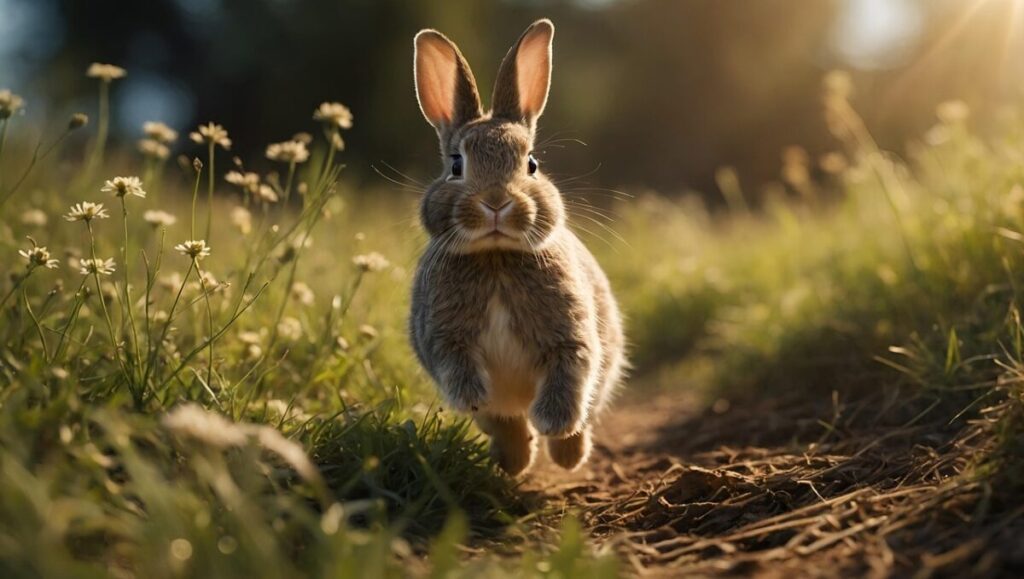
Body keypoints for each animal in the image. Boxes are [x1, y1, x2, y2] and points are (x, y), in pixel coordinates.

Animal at [409, 19, 627, 475]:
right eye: (456, 164)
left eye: (532, 164)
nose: (496, 202)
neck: (496, 258)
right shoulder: (446, 342)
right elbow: (465, 379)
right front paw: (478, 397)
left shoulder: (570, 337)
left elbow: (570, 375)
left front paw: (554, 424)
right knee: (505, 422)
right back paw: (514, 462)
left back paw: (565, 455)